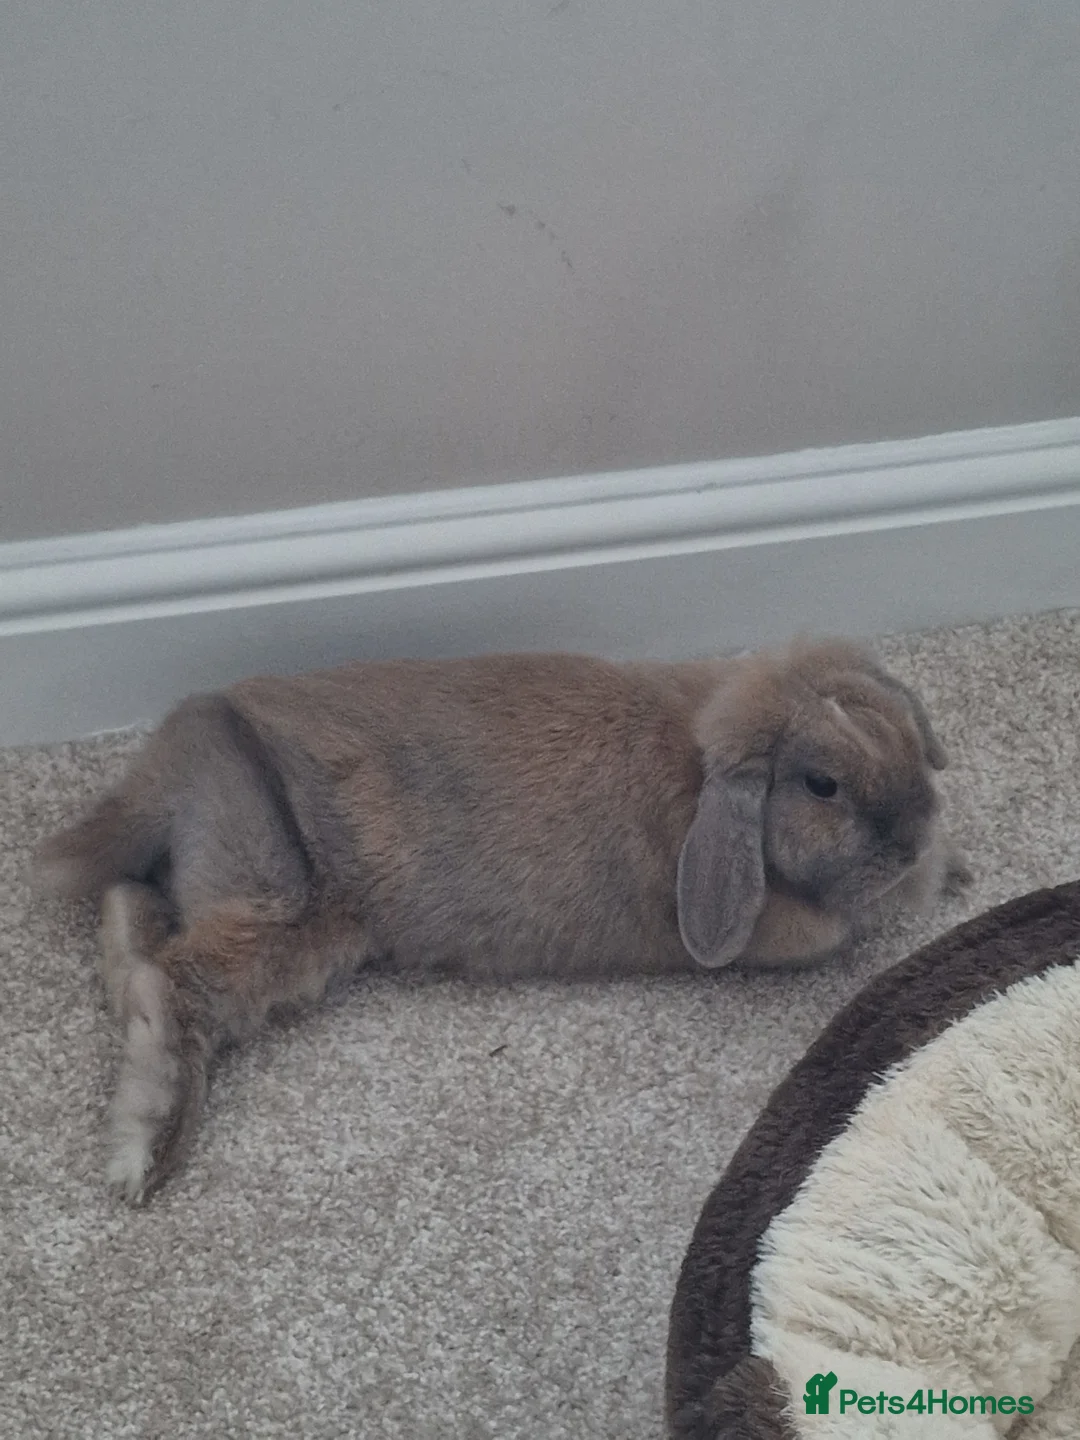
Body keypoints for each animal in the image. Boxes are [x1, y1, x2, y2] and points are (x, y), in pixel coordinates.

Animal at [33, 637, 967, 1204]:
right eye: (822, 784)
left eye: (901, 732)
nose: (917, 833)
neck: (700, 775)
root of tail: (164, 774)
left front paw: (950, 872)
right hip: (282, 910)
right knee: (175, 986)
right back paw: (144, 1155)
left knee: (132, 927)